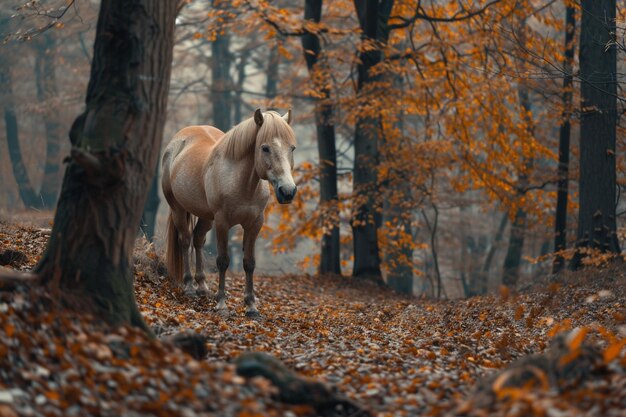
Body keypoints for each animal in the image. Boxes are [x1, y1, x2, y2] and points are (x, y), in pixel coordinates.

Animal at [161, 108, 298, 316]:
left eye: (292, 148)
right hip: (178, 209)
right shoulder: (222, 223)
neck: (242, 183)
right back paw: (190, 287)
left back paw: (202, 286)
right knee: (185, 241)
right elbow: (223, 261)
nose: (288, 191)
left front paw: (251, 306)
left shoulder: (254, 224)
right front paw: (222, 304)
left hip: (206, 217)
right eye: (265, 148)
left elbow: (249, 262)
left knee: (198, 240)